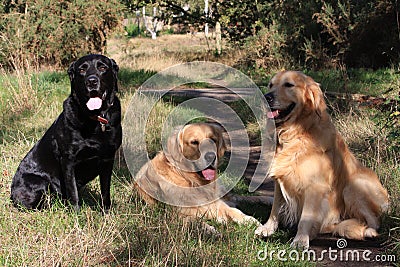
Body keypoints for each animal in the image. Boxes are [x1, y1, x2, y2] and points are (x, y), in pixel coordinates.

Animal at [11, 54, 122, 211]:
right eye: (82, 69)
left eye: (102, 67)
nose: (91, 81)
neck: (95, 118)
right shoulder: (68, 160)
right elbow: (73, 191)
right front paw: (76, 214)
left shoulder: (108, 158)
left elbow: (105, 191)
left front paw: (106, 212)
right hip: (40, 183)